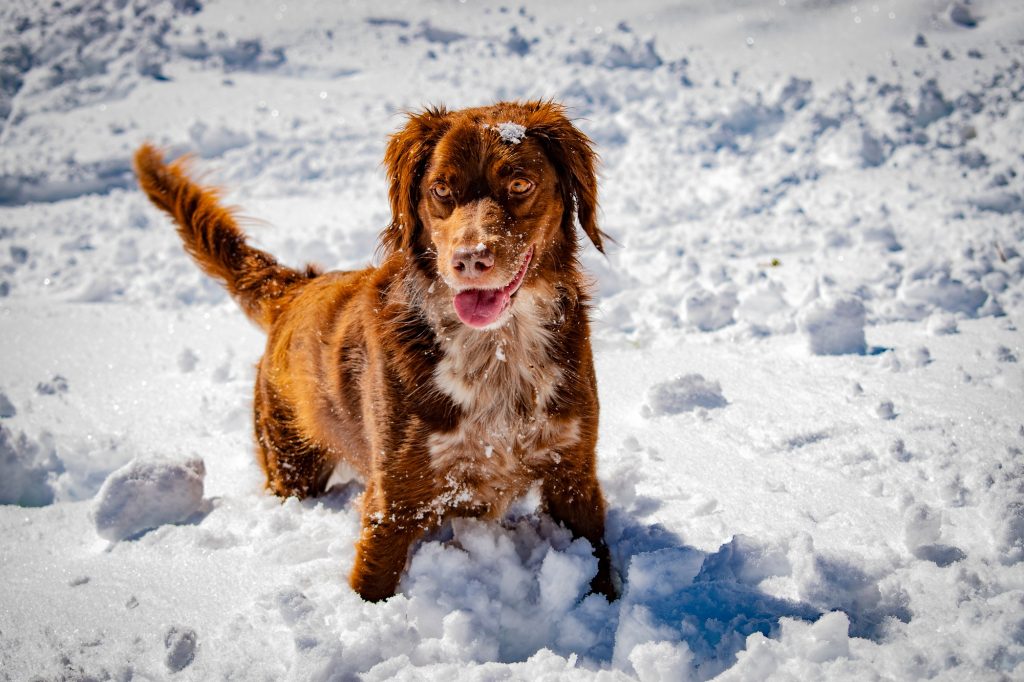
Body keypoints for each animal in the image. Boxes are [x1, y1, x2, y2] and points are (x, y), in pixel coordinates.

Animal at [136, 100, 614, 602]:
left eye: (520, 184)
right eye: (440, 189)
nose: (468, 260)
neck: (497, 350)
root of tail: (296, 288)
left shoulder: (573, 474)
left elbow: (599, 567)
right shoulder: (394, 500)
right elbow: (372, 583)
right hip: (289, 461)